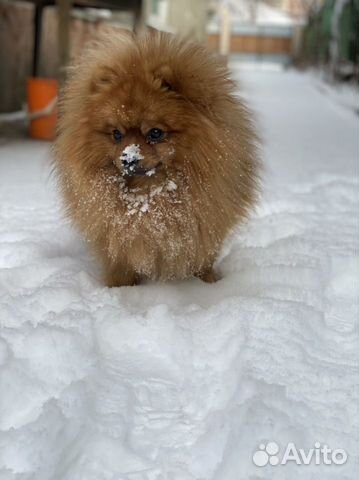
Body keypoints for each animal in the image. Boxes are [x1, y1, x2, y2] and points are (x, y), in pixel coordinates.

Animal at [53, 30, 260, 286]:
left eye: (155, 133)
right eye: (116, 134)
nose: (128, 158)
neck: (149, 198)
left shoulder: (204, 230)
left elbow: (204, 258)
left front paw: (207, 283)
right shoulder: (118, 244)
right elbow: (121, 266)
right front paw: (119, 289)